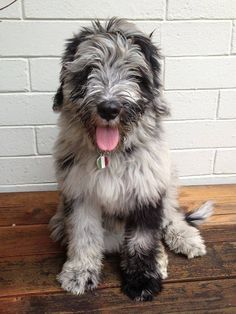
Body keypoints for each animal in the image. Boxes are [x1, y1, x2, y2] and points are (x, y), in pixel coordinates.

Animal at [48, 17, 213, 302]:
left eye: (134, 72)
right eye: (88, 69)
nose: (109, 108)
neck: (110, 155)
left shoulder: (147, 192)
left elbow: (143, 240)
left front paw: (143, 278)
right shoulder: (80, 194)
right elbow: (83, 234)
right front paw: (80, 272)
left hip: (168, 178)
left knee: (171, 217)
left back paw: (182, 241)